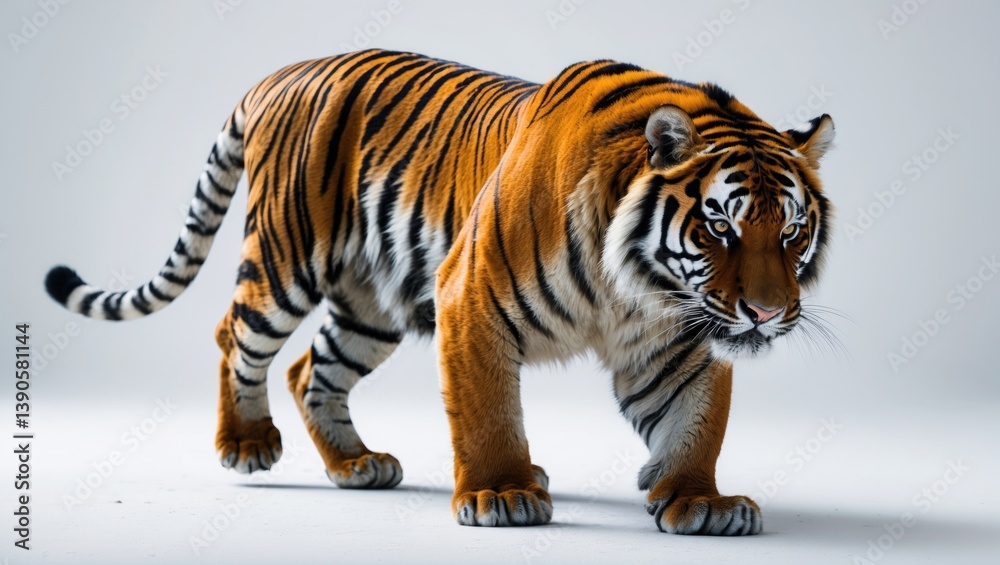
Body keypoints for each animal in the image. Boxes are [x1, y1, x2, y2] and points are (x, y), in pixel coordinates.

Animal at [45, 48, 835, 535]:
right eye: (721, 228)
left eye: (793, 232)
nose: (767, 313)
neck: (636, 288)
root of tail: (281, 73)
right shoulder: (471, 298)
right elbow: (487, 410)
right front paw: (502, 492)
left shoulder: (676, 341)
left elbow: (696, 419)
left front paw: (700, 499)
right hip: (283, 258)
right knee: (235, 335)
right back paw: (245, 442)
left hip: (368, 306)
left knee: (311, 369)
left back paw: (355, 464)